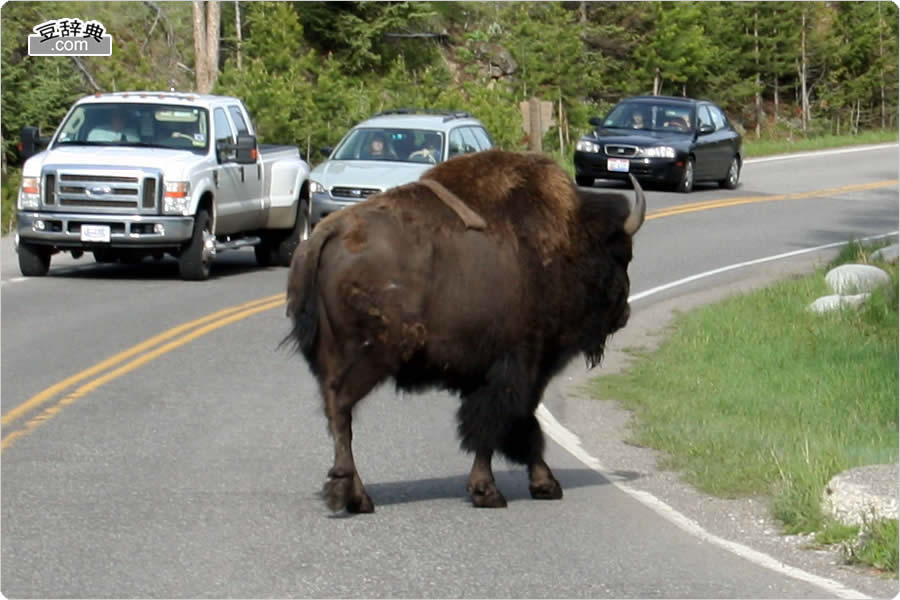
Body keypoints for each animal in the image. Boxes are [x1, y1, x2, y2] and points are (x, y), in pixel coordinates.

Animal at [284, 149, 644, 510]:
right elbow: (503, 425)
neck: (566, 240)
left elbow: (513, 425)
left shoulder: (489, 373)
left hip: (331, 357)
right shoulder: (519, 367)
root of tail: (327, 233)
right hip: (369, 358)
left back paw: (354, 495)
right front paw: (500, 490)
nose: (624, 313)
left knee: (336, 414)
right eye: (622, 256)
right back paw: (353, 496)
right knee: (342, 410)